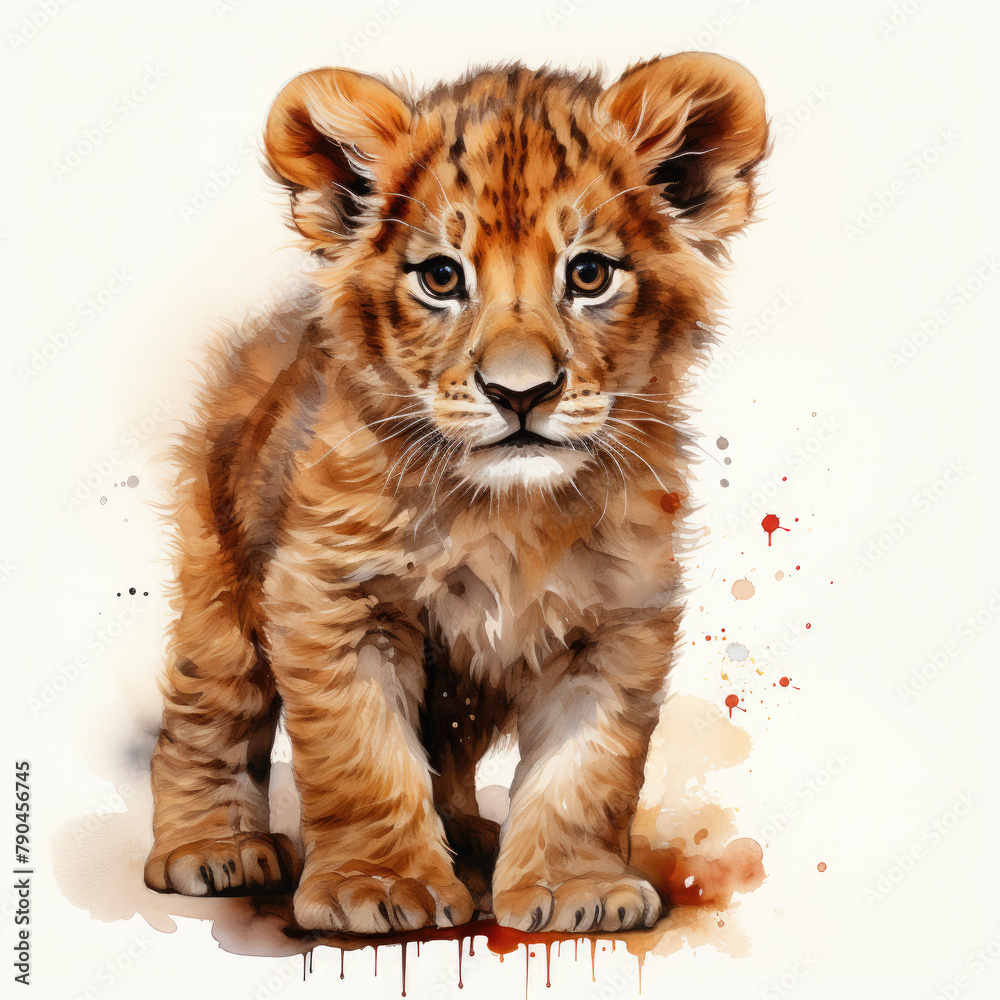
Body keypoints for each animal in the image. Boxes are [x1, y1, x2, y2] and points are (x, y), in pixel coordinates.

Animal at [142, 53, 769, 935]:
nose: (520, 394)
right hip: (222, 583)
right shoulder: (334, 597)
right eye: (442, 277)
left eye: (588, 273)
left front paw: (573, 888)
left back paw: (471, 837)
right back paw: (213, 847)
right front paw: (378, 885)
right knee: (209, 713)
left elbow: (587, 770)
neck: (507, 512)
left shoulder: (616, 620)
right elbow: (362, 751)